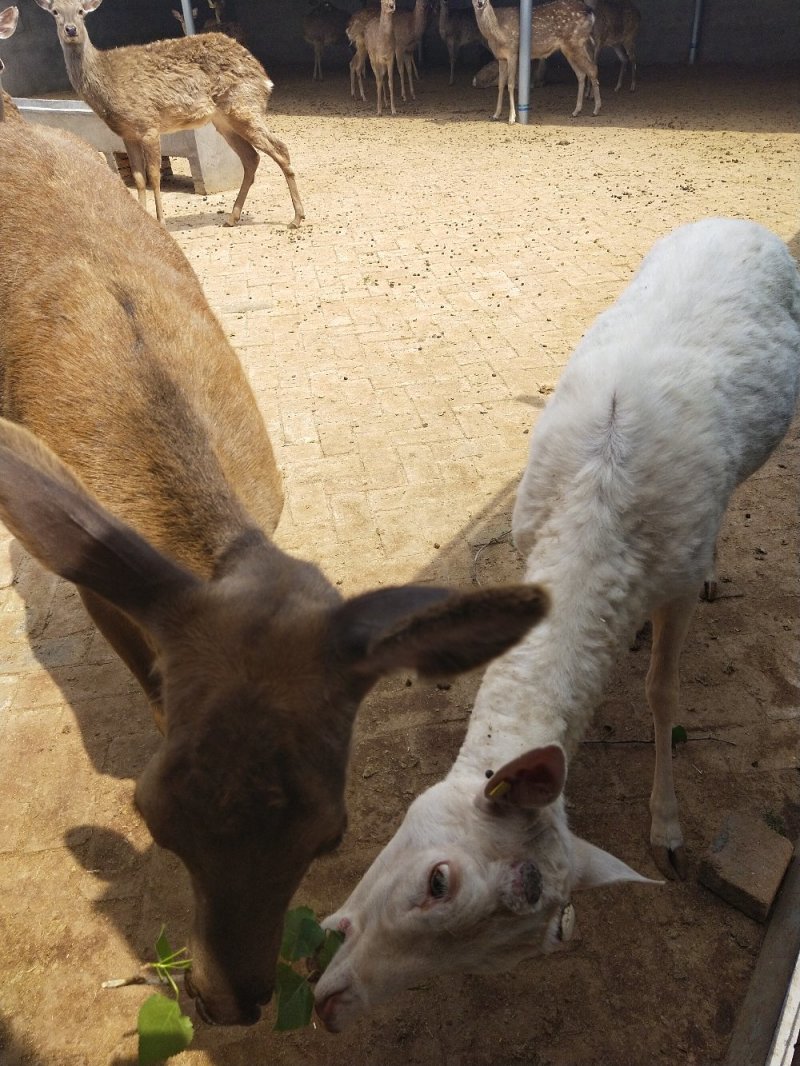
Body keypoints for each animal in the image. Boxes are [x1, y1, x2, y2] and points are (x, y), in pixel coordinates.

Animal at [35, 0, 304, 228]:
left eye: (81, 11)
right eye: (55, 11)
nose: (71, 29)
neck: (107, 81)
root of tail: (264, 76)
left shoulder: (149, 124)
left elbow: (154, 176)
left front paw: (161, 222)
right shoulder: (126, 134)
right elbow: (138, 178)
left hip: (243, 105)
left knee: (280, 148)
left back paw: (296, 218)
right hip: (223, 120)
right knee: (251, 157)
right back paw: (231, 217)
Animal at [471, 0, 600, 124]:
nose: (480, 3)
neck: (498, 32)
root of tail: (591, 12)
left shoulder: (513, 52)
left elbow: (510, 84)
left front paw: (512, 118)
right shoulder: (501, 58)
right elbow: (501, 85)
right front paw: (496, 115)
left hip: (575, 41)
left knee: (593, 69)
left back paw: (596, 109)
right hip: (570, 48)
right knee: (581, 74)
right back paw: (576, 111)